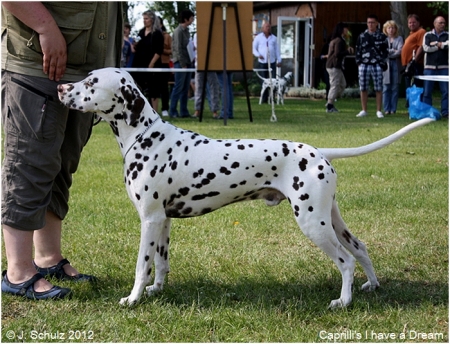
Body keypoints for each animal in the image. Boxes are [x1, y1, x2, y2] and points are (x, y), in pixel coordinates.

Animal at [56, 68, 432, 310]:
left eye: (91, 82)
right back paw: (372, 285)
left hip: (313, 224)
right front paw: (155, 291)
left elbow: (141, 265)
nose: (60, 87)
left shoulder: (148, 220)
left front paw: (133, 299)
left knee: (345, 260)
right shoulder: (162, 221)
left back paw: (344, 300)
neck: (145, 136)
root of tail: (318, 152)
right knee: (361, 249)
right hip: (332, 220)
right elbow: (161, 264)